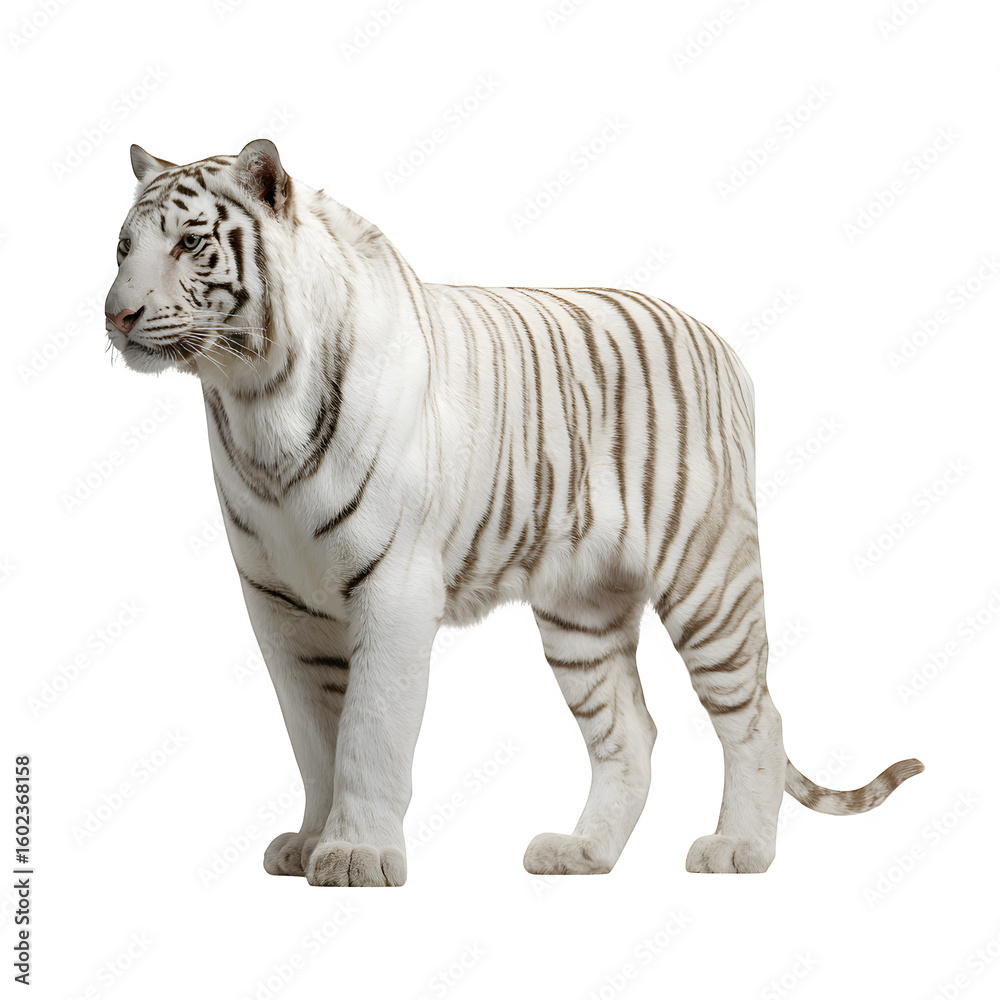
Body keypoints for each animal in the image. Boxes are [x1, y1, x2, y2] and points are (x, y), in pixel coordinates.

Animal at [104, 139, 923, 886]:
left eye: (189, 242)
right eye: (123, 246)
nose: (116, 315)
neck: (255, 399)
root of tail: (717, 340)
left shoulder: (394, 590)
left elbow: (368, 731)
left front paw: (356, 854)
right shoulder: (279, 607)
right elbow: (313, 736)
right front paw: (310, 843)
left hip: (708, 576)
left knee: (757, 718)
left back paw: (740, 849)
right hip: (581, 612)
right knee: (632, 732)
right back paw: (584, 852)